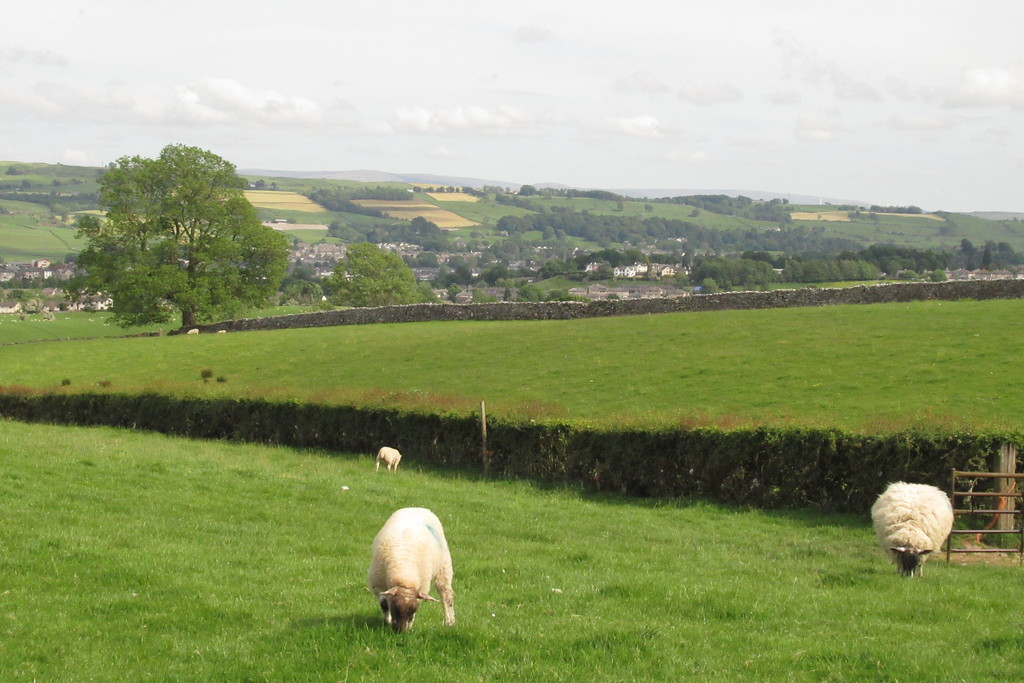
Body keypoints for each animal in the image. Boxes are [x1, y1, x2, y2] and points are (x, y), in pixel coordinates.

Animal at [364, 505, 452, 634]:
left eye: (413, 611)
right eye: (395, 608)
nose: (400, 631)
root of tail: (417, 507)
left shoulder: (421, 589)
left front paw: (409, 626)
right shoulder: (379, 586)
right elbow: (384, 604)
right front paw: (387, 621)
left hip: (444, 565)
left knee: (446, 595)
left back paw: (450, 622)